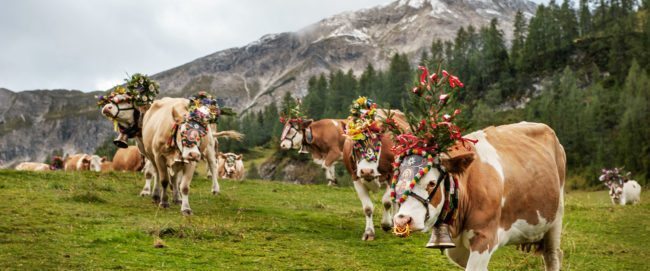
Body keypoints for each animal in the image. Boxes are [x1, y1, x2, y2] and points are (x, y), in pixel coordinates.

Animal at [342, 109, 408, 241]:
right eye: (355, 145)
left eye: (378, 143)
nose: (367, 171)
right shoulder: (356, 177)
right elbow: (367, 208)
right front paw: (369, 232)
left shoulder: (392, 174)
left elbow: (387, 202)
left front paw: (386, 224)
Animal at [388, 123, 564, 271]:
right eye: (397, 182)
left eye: (431, 183)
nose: (402, 221)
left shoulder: (484, 238)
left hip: (556, 219)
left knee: (553, 256)